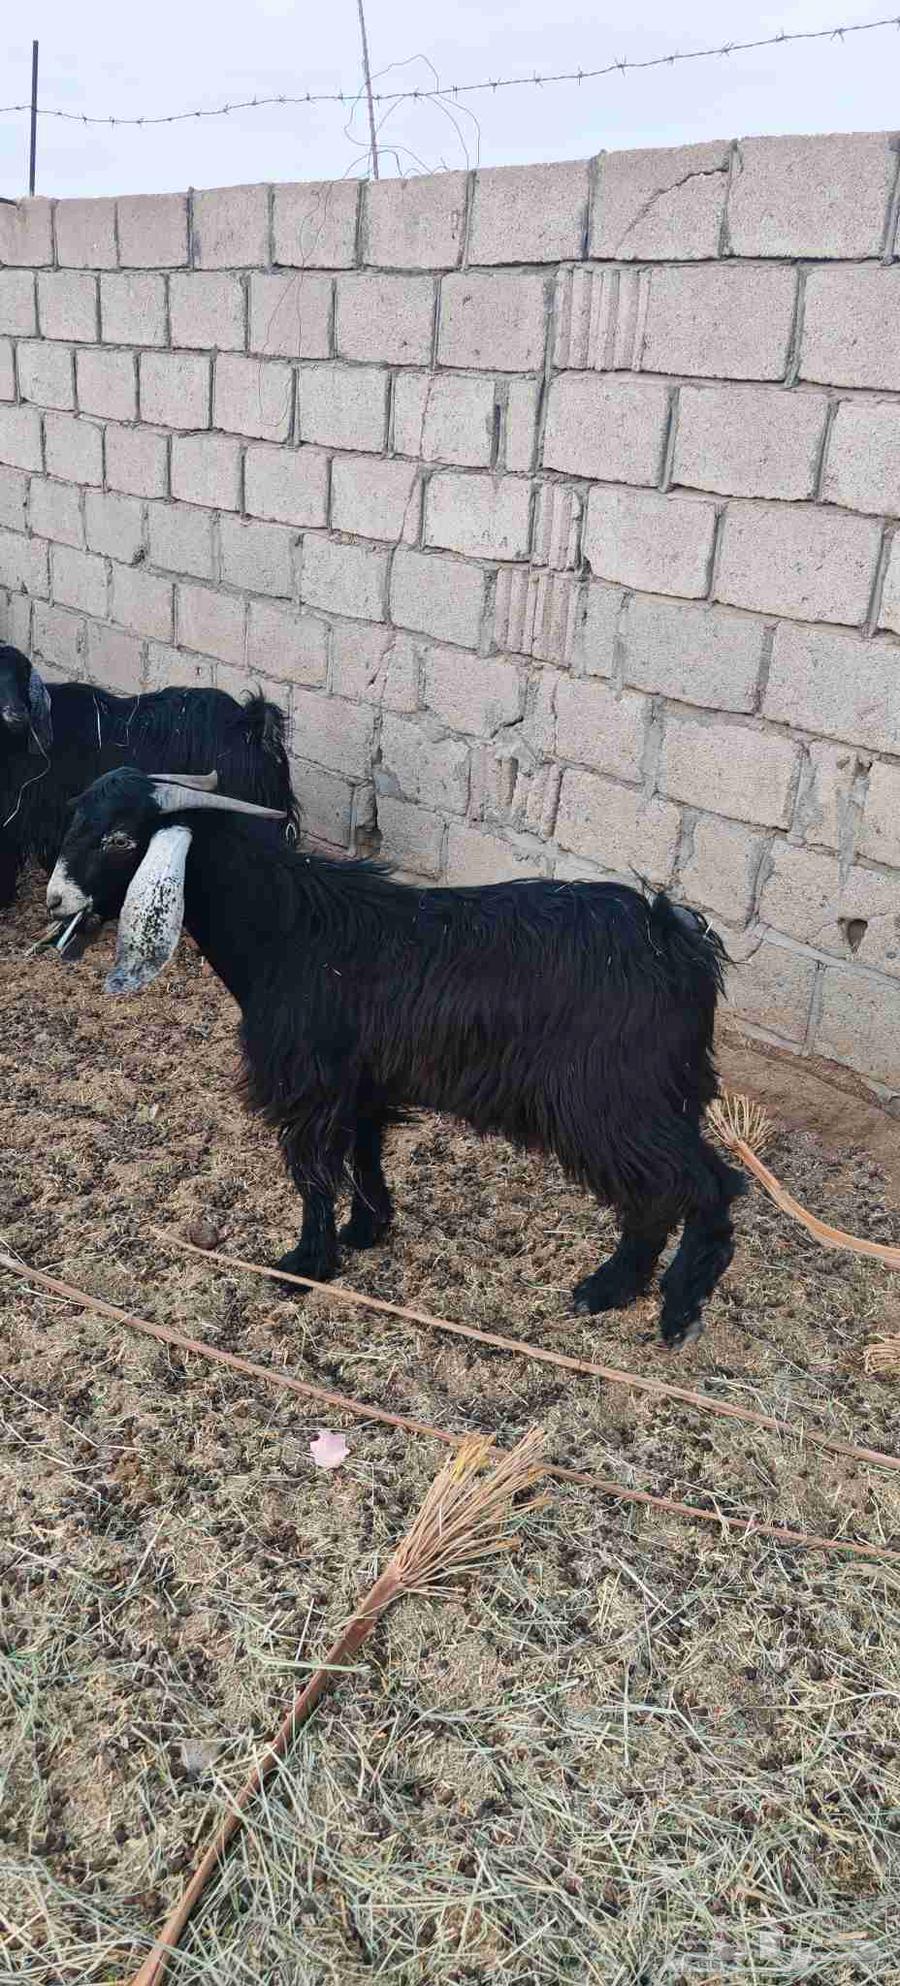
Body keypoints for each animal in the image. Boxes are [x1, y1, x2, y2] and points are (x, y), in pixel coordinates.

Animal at [47, 768, 745, 1347]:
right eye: (74, 818)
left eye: (119, 838)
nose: (55, 900)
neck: (287, 933)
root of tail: (675, 940)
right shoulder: (360, 1082)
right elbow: (364, 1152)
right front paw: (367, 1229)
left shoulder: (310, 1084)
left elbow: (313, 1173)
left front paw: (306, 1264)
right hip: (654, 1096)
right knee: (660, 1192)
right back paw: (615, 1288)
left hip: (613, 1099)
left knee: (704, 1184)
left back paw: (674, 1309)